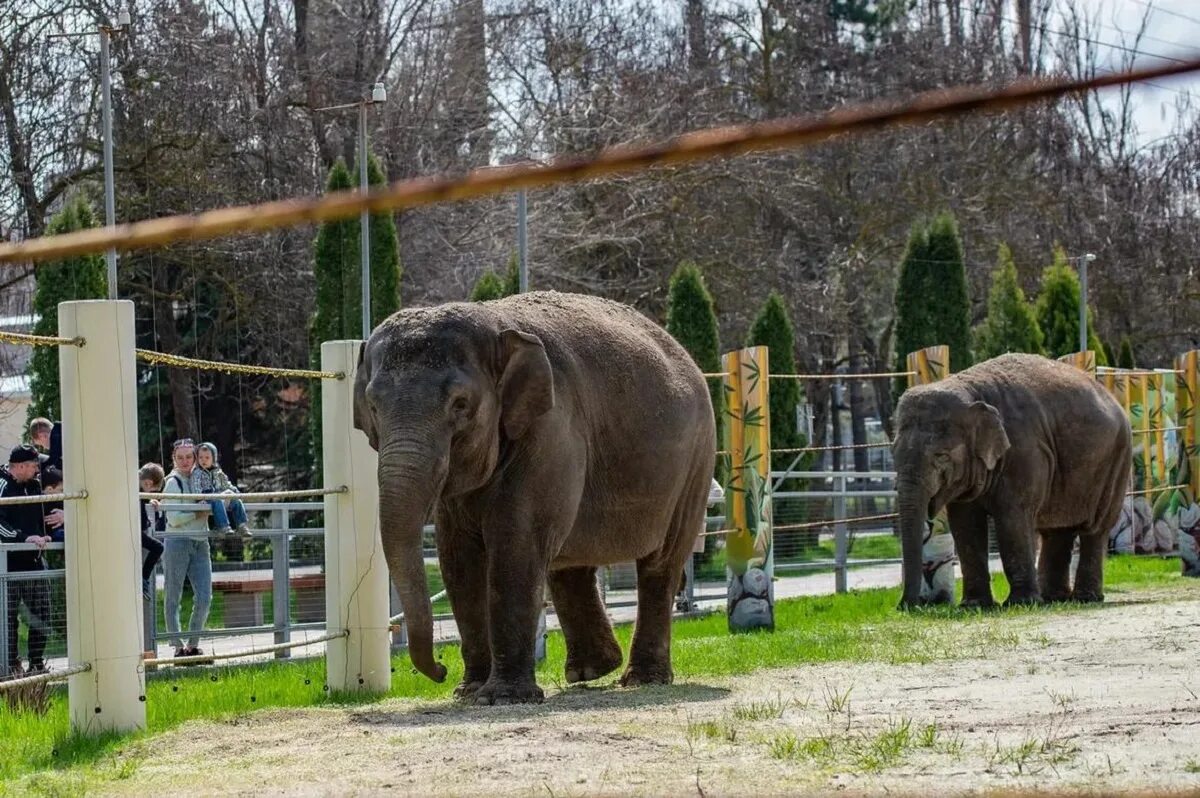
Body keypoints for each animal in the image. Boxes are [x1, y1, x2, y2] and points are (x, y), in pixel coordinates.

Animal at [352, 291, 710, 705]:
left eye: (460, 404)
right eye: (373, 406)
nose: (439, 670)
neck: (496, 323)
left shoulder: (550, 429)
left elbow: (515, 543)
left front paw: (499, 698)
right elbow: (457, 557)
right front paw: (468, 692)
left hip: (695, 462)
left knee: (661, 562)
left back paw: (641, 678)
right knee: (569, 563)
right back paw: (590, 671)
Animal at [892, 352, 1132, 607]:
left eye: (941, 456)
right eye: (893, 453)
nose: (907, 606)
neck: (969, 390)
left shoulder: (1024, 450)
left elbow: (1013, 516)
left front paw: (1021, 603)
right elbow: (965, 524)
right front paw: (974, 605)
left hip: (1117, 460)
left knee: (1095, 528)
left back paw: (1085, 599)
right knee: (1057, 531)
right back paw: (1054, 598)